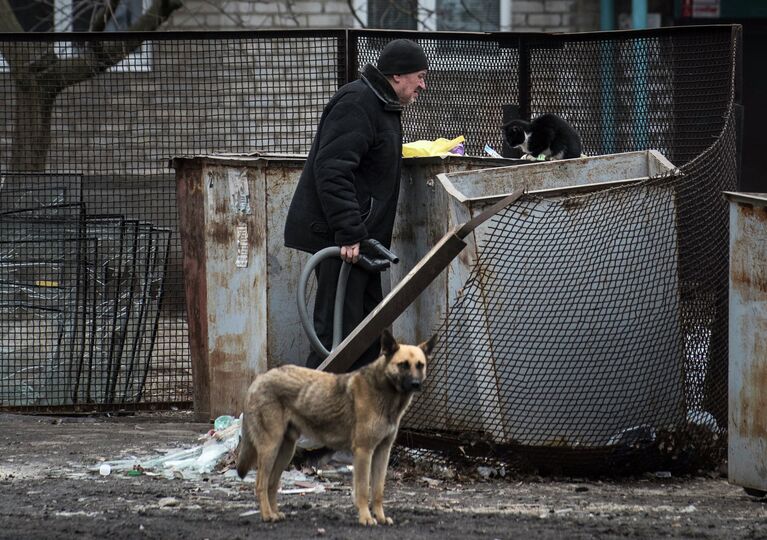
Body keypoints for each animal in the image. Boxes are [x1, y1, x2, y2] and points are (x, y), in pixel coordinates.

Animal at [237, 332, 436, 524]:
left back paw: (275, 513)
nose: (416, 384)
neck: (385, 393)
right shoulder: (364, 452)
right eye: (403, 365)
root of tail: (259, 379)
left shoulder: (382, 452)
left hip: (285, 451)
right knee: (260, 485)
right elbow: (363, 491)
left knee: (271, 484)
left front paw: (380, 517)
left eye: (420, 365)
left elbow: (378, 491)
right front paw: (366, 518)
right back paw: (266, 515)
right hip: (270, 448)